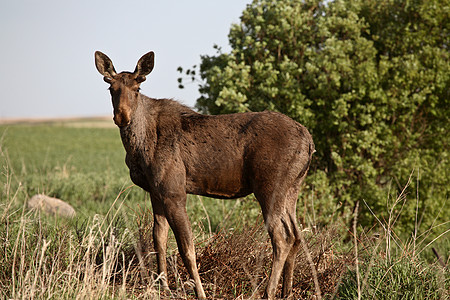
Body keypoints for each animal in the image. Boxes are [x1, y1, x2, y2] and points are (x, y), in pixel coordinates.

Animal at [94, 50, 312, 298]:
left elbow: (186, 248)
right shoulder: (156, 192)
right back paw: (286, 290)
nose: (122, 116)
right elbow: (158, 239)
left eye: (137, 88)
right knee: (296, 235)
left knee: (281, 239)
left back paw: (268, 292)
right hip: (292, 188)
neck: (139, 147)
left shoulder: (174, 191)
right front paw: (163, 285)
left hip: (269, 187)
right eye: (111, 88)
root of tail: (309, 140)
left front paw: (200, 292)